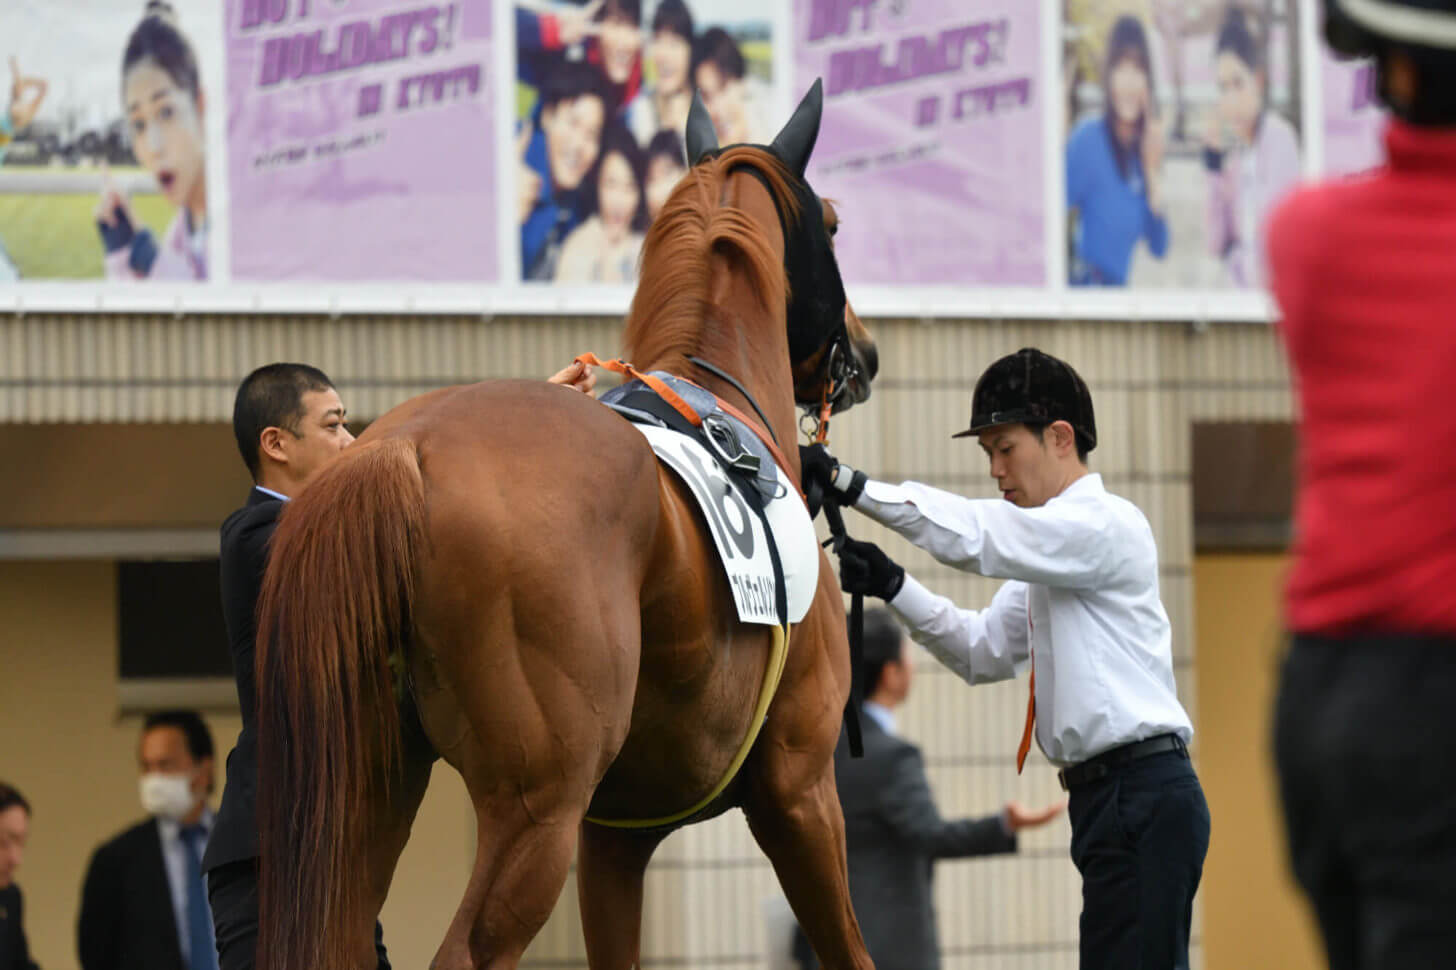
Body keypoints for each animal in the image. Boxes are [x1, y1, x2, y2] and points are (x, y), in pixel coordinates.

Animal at [253, 84, 873, 967]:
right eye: (832, 222)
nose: (864, 349)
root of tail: (408, 448)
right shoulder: (801, 789)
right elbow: (849, 947)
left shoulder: (613, 835)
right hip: (533, 810)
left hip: (362, 801)